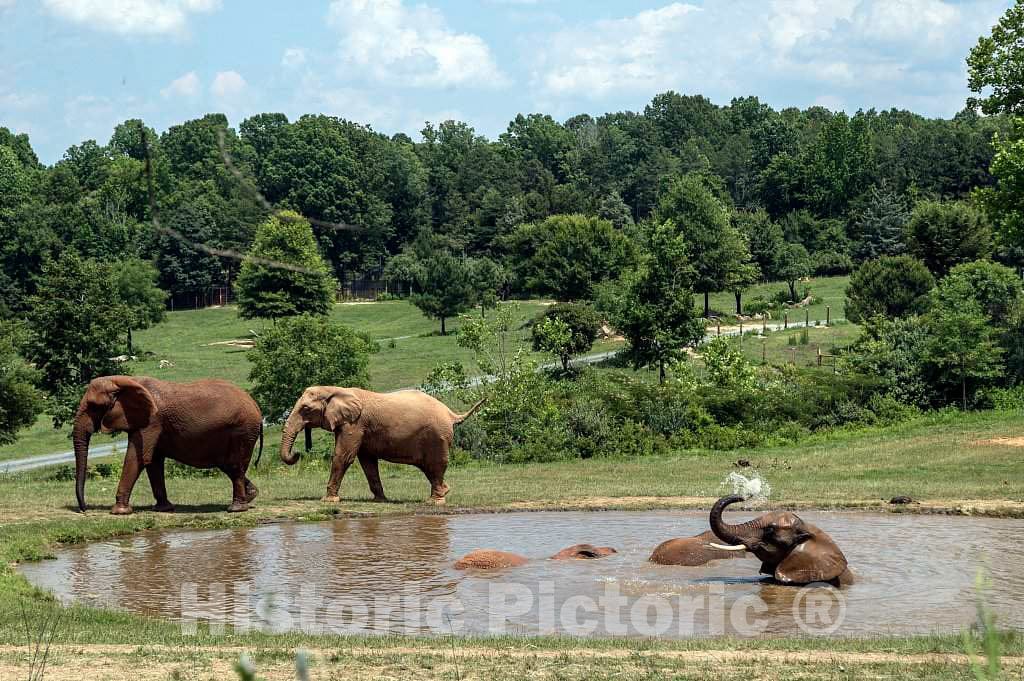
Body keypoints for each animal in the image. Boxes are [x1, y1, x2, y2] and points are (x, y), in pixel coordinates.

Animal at [72, 374, 262, 512]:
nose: (84, 510)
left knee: (235, 465)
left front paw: (119, 512)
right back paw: (250, 496)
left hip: (242, 430)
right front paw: (163, 509)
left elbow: (138, 458)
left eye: (93, 406)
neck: (125, 381)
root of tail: (255, 405)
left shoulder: (152, 421)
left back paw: (236, 509)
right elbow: (153, 462)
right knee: (228, 465)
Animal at [278, 385, 485, 501]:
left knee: (435, 465)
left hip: (437, 436)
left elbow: (343, 456)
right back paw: (443, 493)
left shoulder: (354, 424)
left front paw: (328, 500)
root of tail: (451, 414)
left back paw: (435, 501)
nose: (298, 454)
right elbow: (367, 462)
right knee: (430, 468)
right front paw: (380, 500)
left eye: (305, 409)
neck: (335, 389)